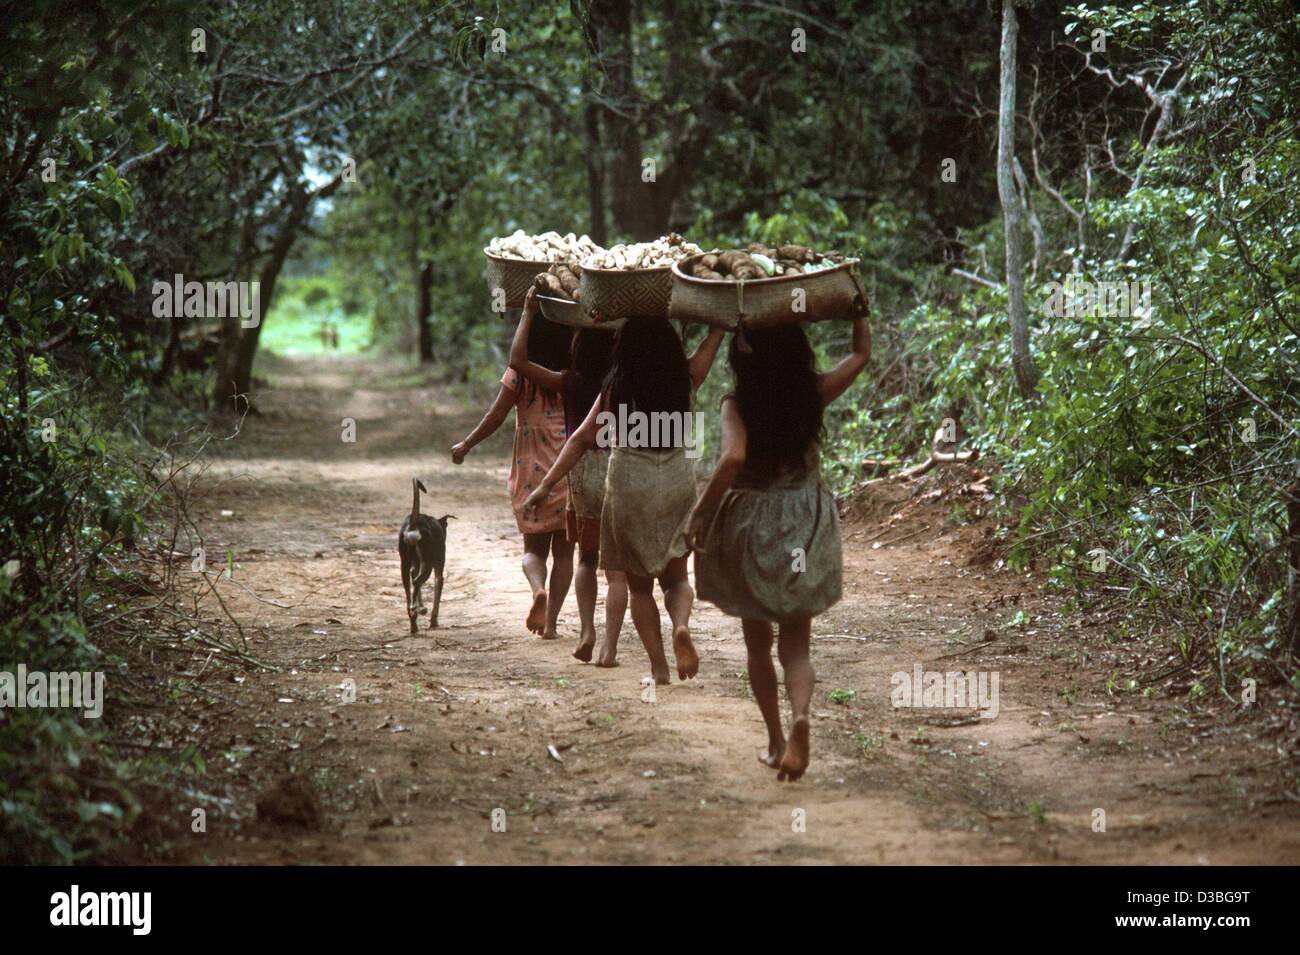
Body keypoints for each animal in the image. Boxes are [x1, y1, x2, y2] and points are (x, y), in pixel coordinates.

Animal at [397, 478, 454, 634]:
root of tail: (414, 522)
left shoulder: (415, 566)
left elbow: (414, 575)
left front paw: (421, 607)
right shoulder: (438, 565)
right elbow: (438, 586)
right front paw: (434, 621)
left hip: (404, 562)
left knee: (409, 586)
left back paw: (413, 619)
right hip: (427, 563)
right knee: (417, 582)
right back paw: (415, 610)